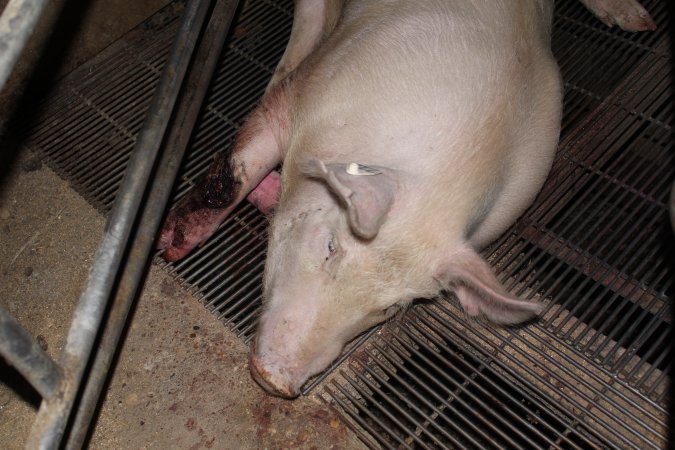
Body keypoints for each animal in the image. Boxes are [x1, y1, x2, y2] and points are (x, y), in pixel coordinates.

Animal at [157, 0, 656, 398]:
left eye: (389, 308)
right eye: (330, 246)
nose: (275, 381)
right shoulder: (315, 87)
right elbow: (238, 165)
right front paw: (170, 244)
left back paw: (640, 23)